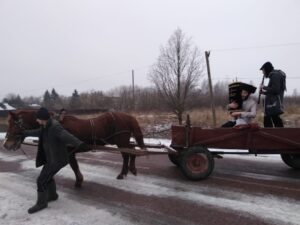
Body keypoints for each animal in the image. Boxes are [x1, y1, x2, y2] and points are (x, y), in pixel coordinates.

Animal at [2, 110, 145, 185]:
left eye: (14, 124)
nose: (6, 144)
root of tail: (128, 116)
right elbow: (73, 166)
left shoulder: (69, 151)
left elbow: (74, 166)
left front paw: (79, 181)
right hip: (122, 142)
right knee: (132, 151)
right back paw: (130, 170)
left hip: (121, 141)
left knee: (127, 154)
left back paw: (123, 173)